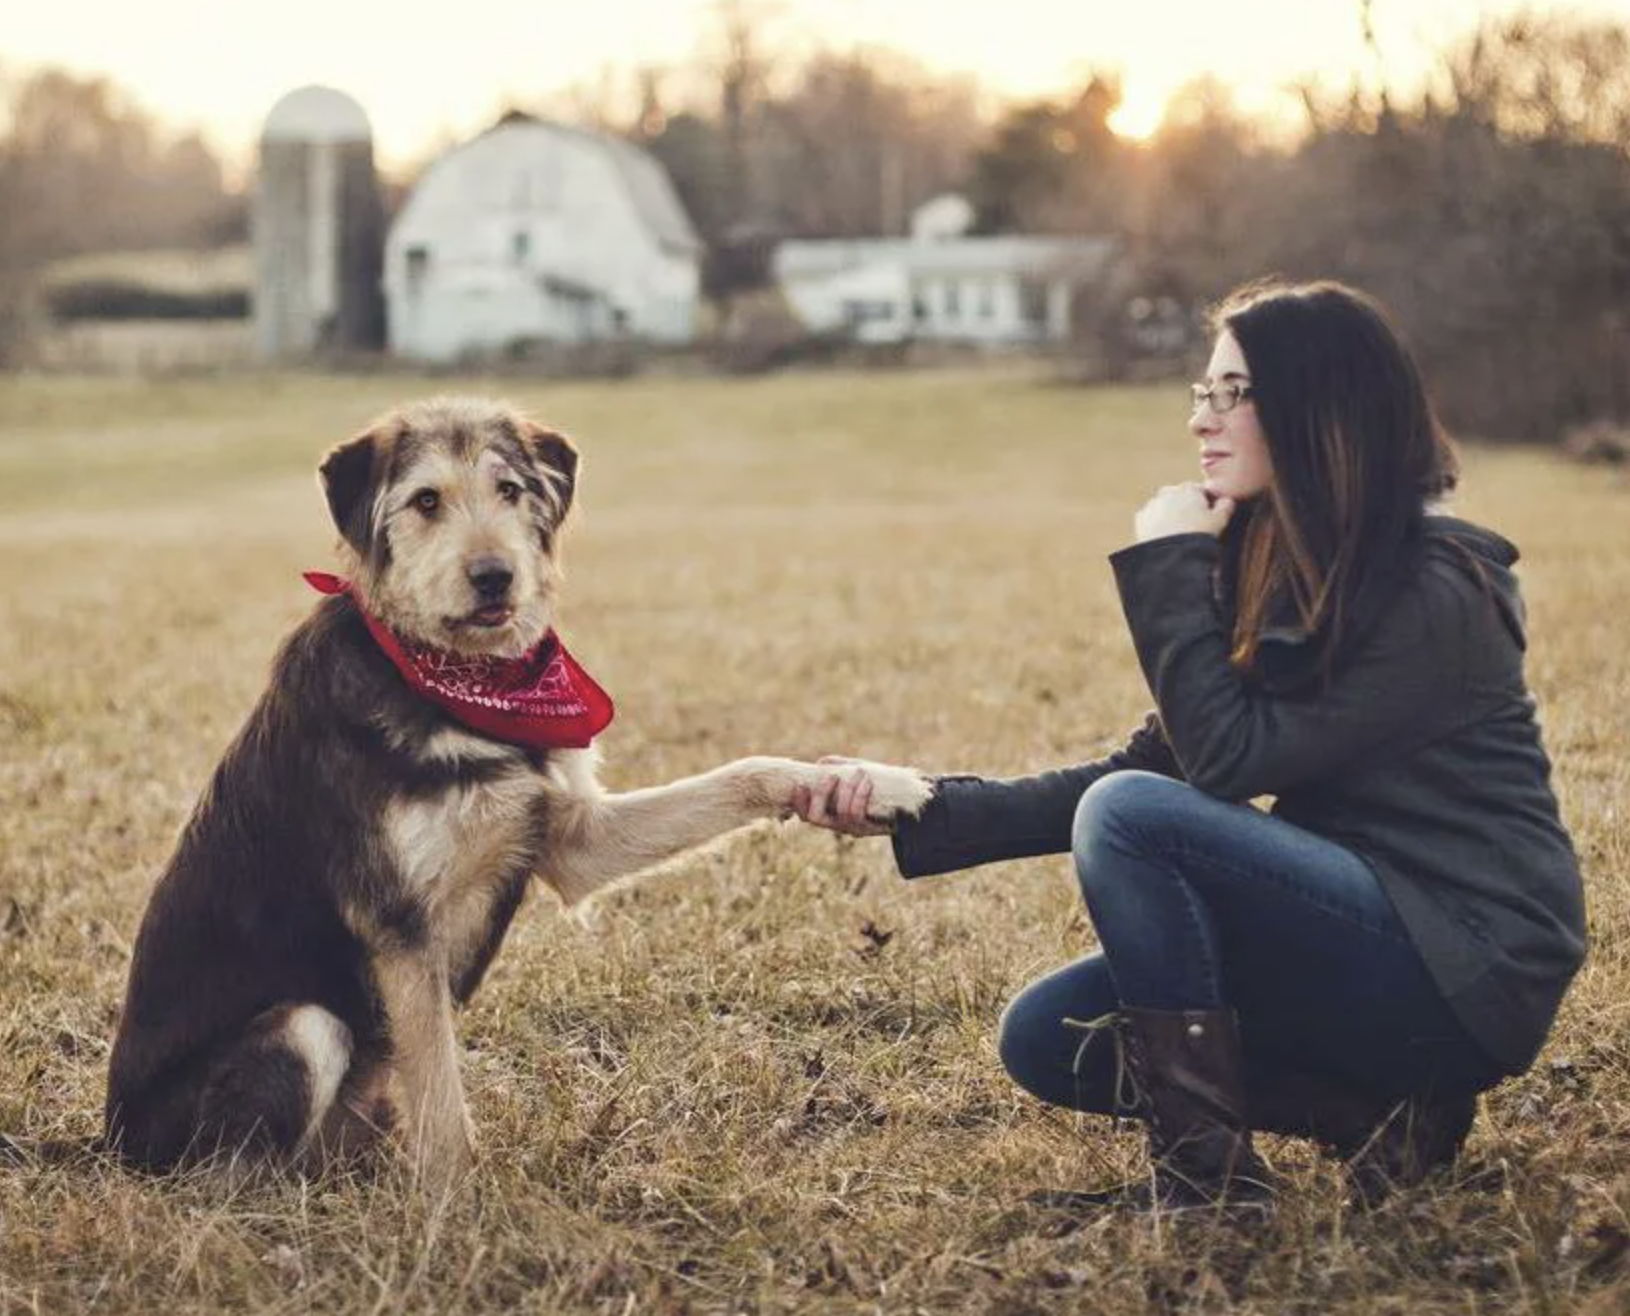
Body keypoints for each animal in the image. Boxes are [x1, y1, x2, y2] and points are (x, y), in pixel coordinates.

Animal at [105, 396, 932, 1187]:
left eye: (510, 490)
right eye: (426, 501)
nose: (494, 576)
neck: (460, 683)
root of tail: (110, 1146)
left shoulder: (573, 835)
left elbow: (746, 772)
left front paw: (865, 784)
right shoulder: (402, 928)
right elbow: (442, 1099)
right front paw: (455, 1209)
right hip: (300, 1027)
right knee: (232, 1177)